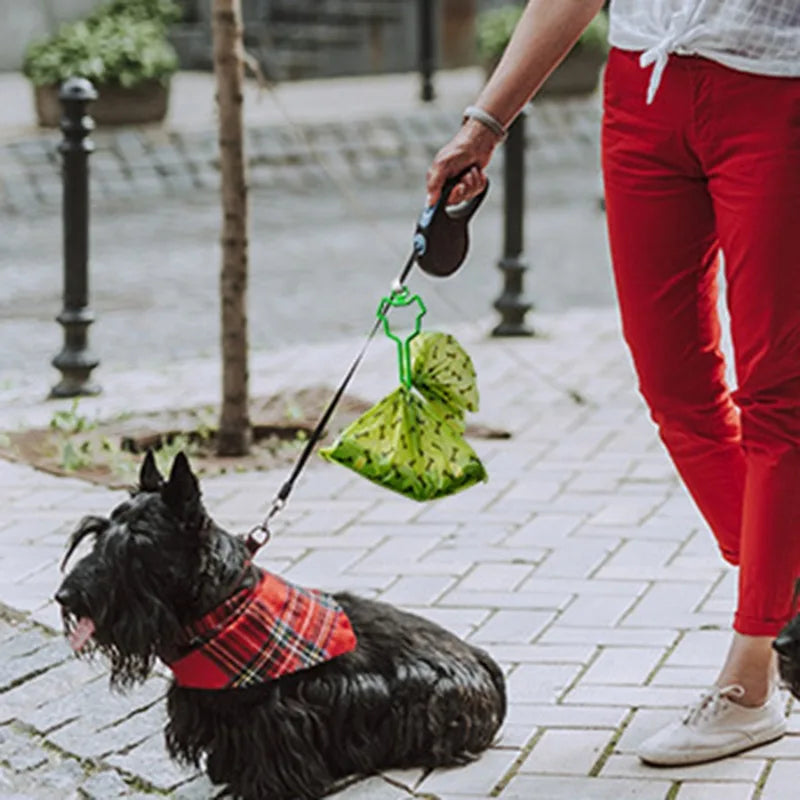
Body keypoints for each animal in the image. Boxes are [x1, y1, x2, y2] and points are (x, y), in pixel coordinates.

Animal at [54, 454, 506, 796]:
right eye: (96, 534)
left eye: (138, 544)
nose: (64, 597)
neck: (222, 607)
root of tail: (481, 659)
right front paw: (226, 771)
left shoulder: (276, 714)